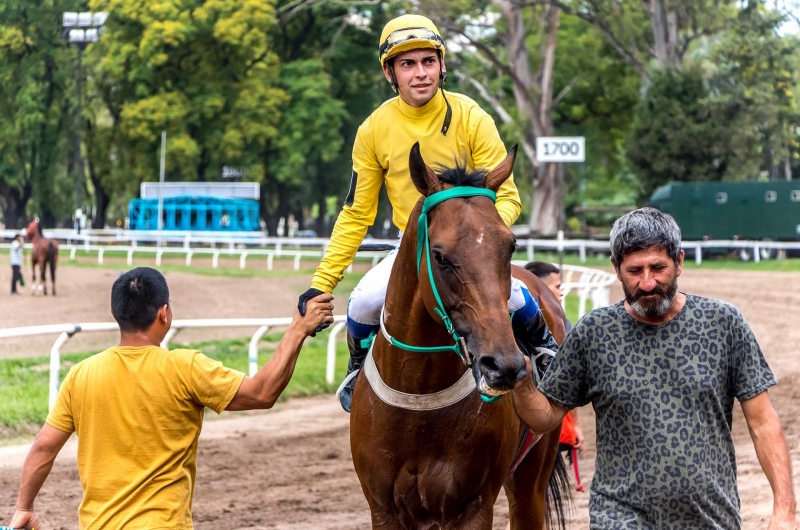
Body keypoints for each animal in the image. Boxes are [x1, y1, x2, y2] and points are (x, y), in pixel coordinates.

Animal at [350, 141, 568, 528]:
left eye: (511, 246)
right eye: (439, 255)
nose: (504, 366)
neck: (420, 400)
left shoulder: (473, 505)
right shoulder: (383, 507)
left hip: (532, 472)